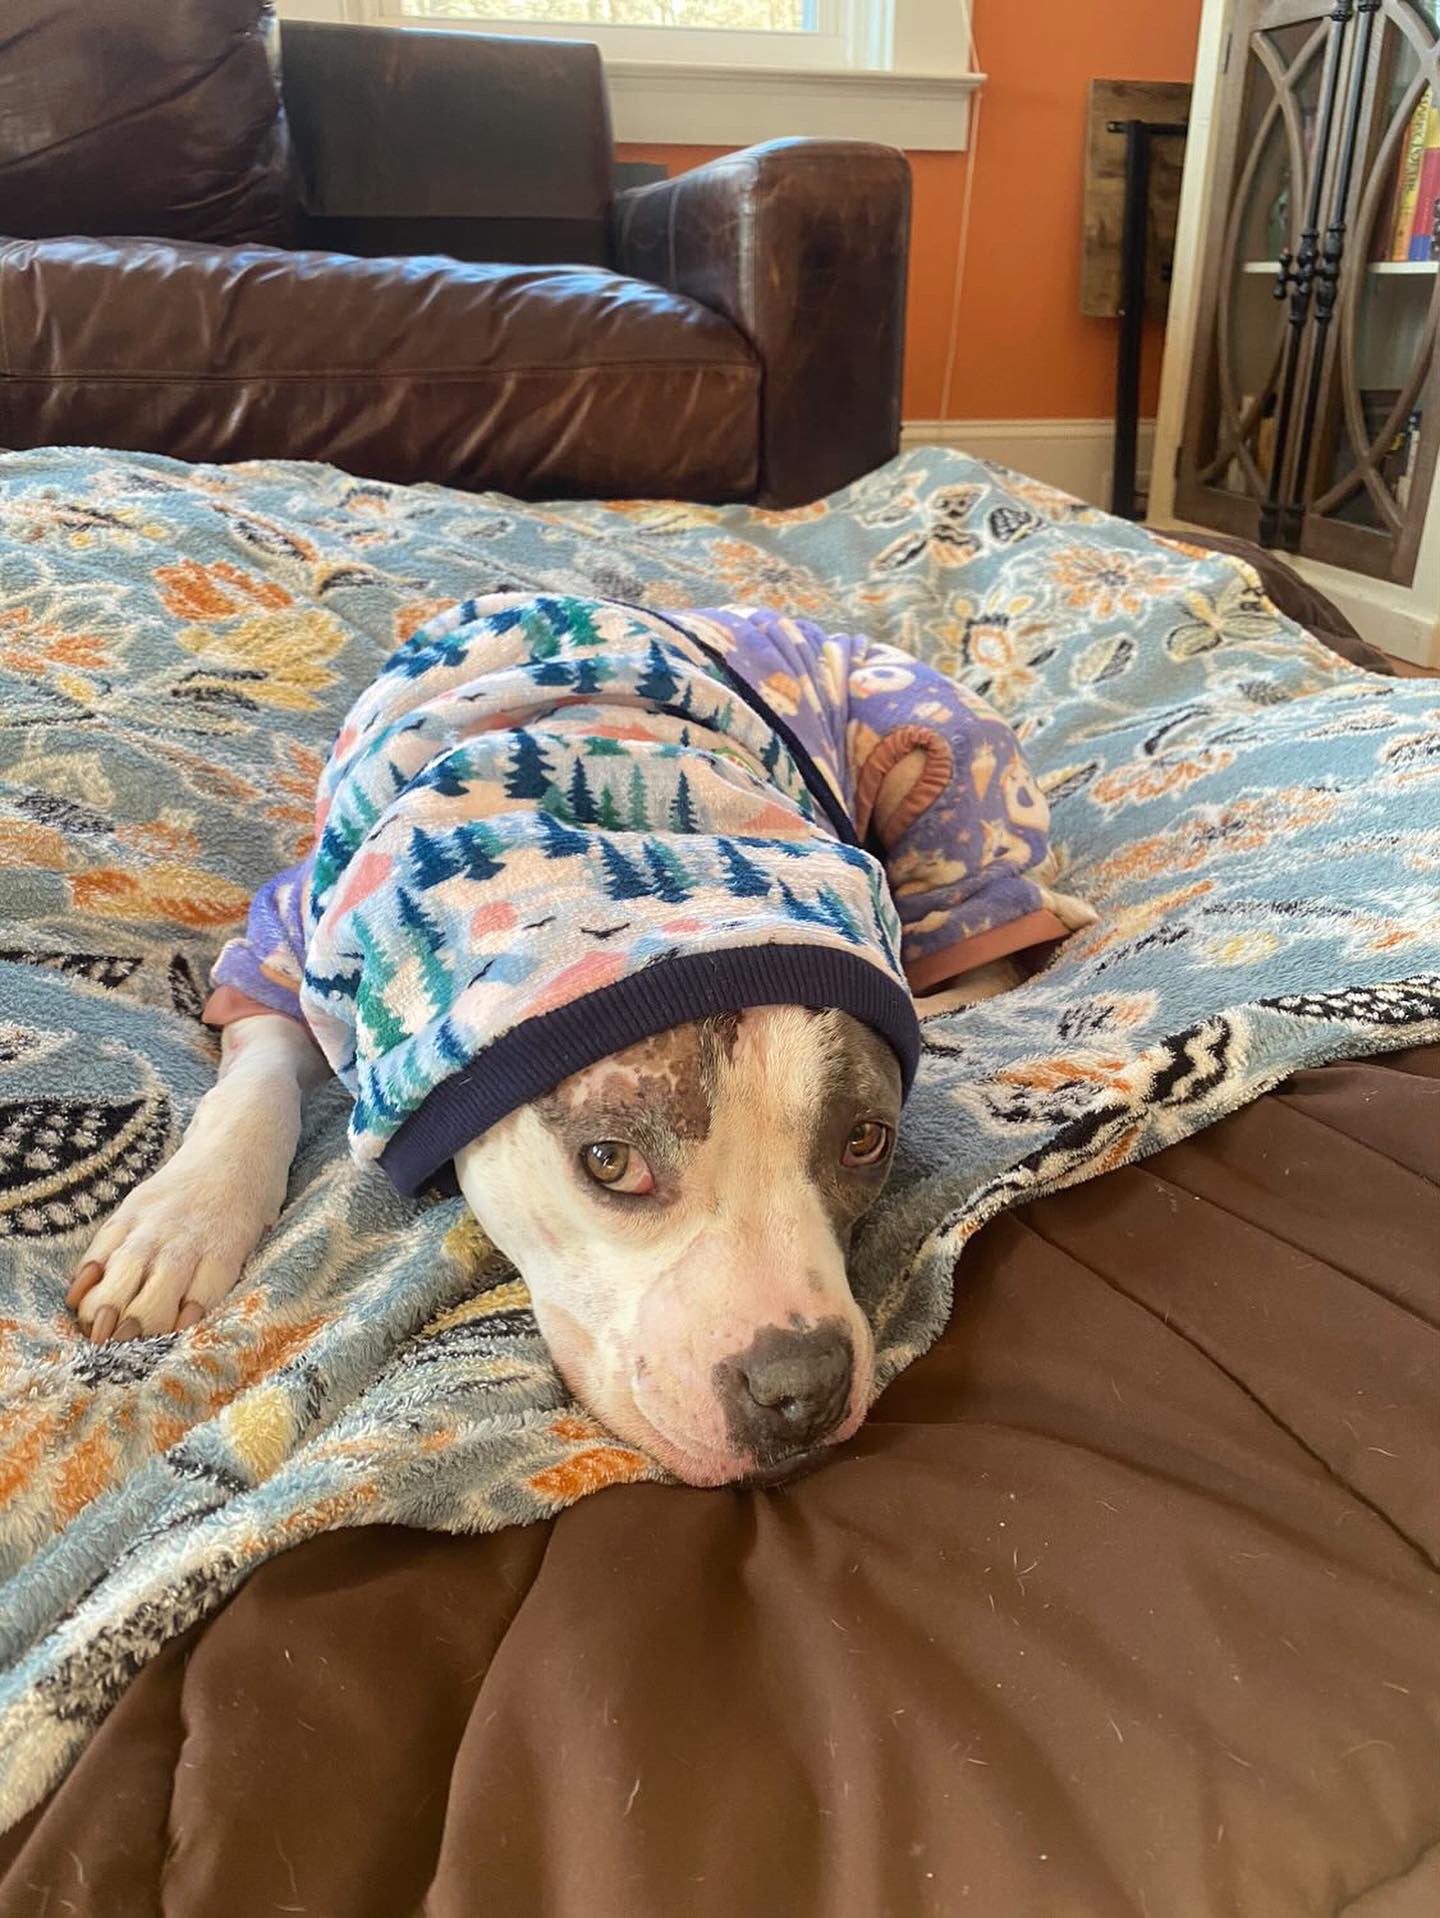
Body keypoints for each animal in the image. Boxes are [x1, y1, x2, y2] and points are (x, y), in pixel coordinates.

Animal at [68, 596, 1089, 1486]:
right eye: (609, 1161)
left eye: (865, 1140)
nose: (800, 1389)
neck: (601, 810)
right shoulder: (293, 933)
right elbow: (255, 1079)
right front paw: (180, 1222)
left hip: (943, 782)